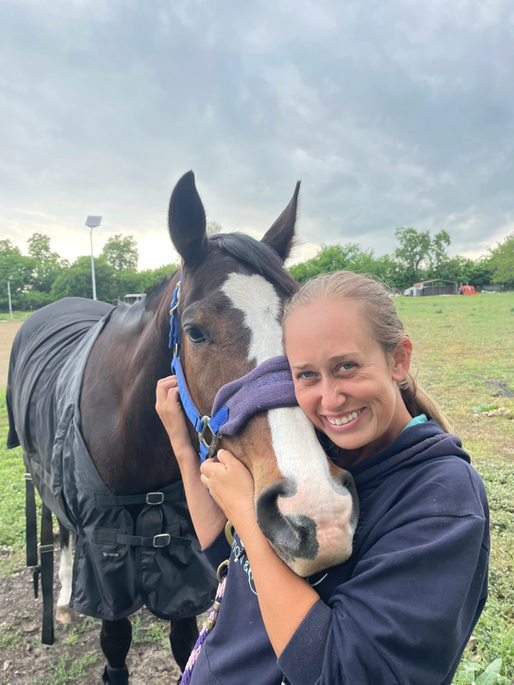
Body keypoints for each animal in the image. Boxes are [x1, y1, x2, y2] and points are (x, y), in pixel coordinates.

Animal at [6, 171, 359, 684]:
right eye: (195, 332)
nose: (319, 514)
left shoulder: (182, 566)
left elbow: (184, 641)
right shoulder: (108, 572)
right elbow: (115, 647)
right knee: (61, 532)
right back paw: (67, 602)